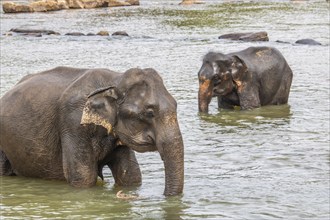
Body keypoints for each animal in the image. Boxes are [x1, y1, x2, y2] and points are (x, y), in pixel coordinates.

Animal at [0, 66, 183, 196]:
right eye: (149, 113)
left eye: (176, 105)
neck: (114, 79)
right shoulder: (73, 121)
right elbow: (83, 176)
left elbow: (131, 175)